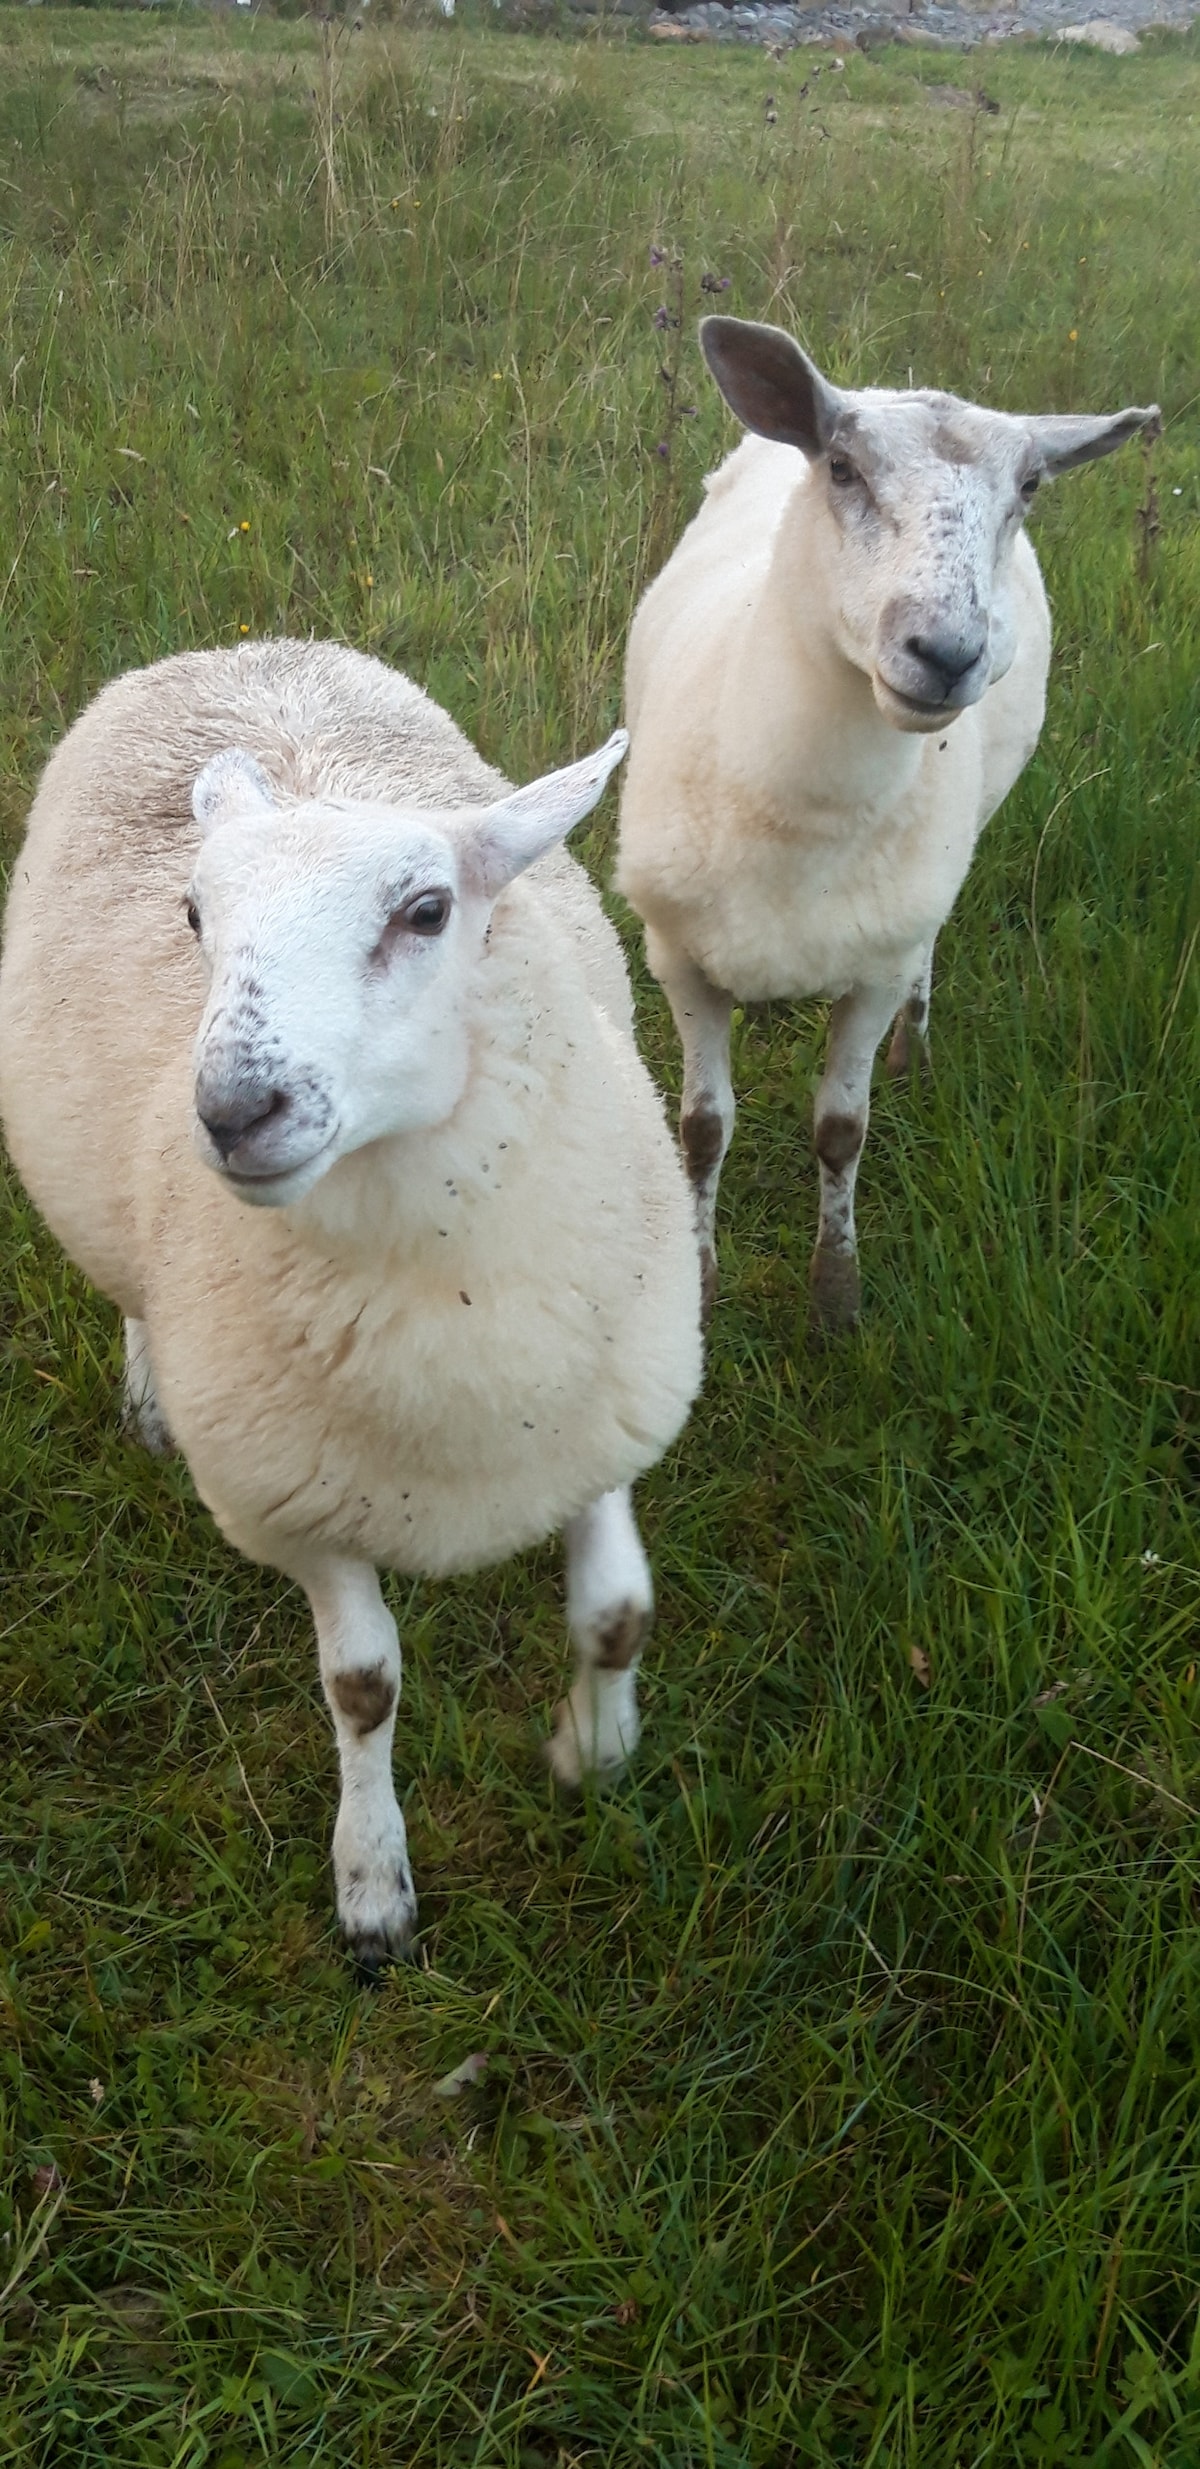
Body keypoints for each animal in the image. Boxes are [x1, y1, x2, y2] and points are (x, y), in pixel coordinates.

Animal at [0, 637, 701, 1965]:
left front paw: (597, 1753)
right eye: (194, 916)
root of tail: (234, 648)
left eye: (427, 912)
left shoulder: (598, 1421)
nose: (233, 1112)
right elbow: (363, 1689)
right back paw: (145, 1392)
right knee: (125, 1284)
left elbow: (620, 1614)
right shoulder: (296, 1504)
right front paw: (372, 1883)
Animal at [614, 320, 1155, 1343]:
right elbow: (702, 1131)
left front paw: (836, 1296)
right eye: (842, 467)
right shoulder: (679, 955)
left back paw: (917, 1046)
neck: (802, 811)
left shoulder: (871, 966)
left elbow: (841, 1131)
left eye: (1030, 487)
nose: (944, 653)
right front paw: (698, 1286)